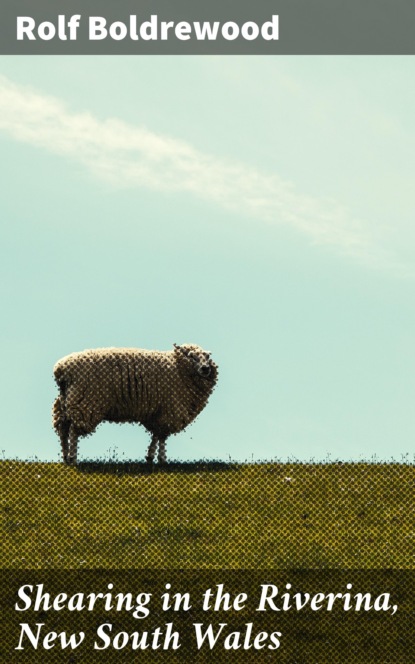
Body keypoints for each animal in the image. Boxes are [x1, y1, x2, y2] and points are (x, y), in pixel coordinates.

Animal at [52, 344, 218, 464]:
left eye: (207, 356)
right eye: (191, 356)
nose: (206, 368)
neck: (178, 369)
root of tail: (61, 369)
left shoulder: (156, 413)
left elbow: (156, 435)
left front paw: (150, 458)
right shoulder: (169, 409)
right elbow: (162, 436)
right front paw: (162, 460)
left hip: (66, 400)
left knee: (63, 428)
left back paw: (65, 458)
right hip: (85, 401)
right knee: (73, 429)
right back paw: (73, 458)